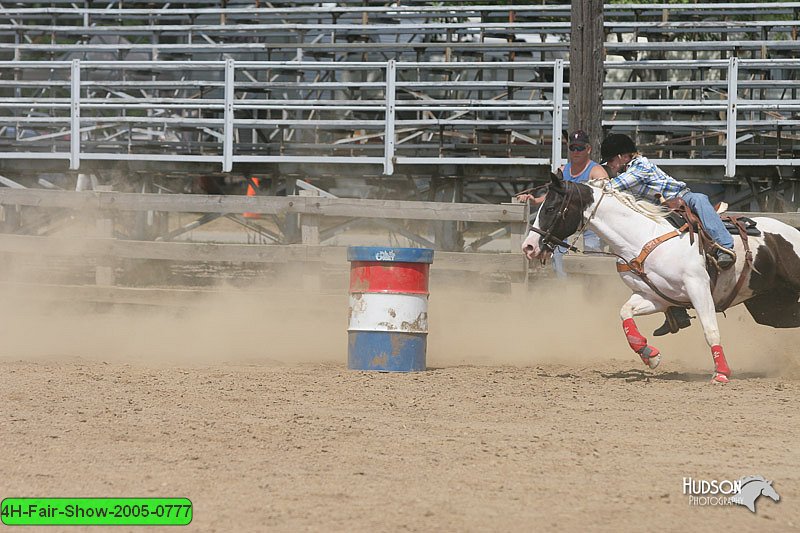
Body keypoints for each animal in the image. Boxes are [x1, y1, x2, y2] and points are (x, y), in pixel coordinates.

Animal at [520, 175, 800, 382]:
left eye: (551, 208)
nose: (528, 247)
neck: (642, 236)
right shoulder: (656, 297)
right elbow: (625, 314)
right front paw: (649, 354)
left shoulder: (698, 288)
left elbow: (710, 330)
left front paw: (721, 373)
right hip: (769, 308)